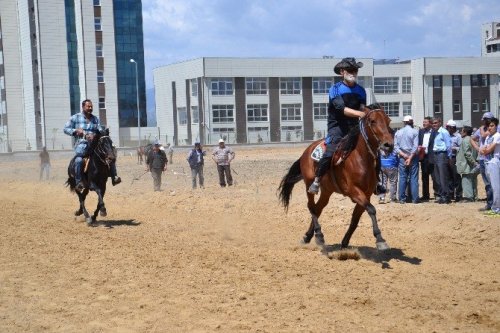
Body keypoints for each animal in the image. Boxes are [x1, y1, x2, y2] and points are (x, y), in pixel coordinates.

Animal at [278, 107, 394, 250]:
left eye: (388, 120)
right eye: (372, 121)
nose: (388, 144)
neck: (360, 158)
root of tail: (307, 150)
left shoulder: (366, 194)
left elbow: (356, 219)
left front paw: (345, 242)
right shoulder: (354, 191)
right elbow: (372, 209)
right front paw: (380, 239)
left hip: (327, 191)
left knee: (318, 208)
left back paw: (308, 236)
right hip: (309, 184)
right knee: (311, 206)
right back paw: (319, 235)